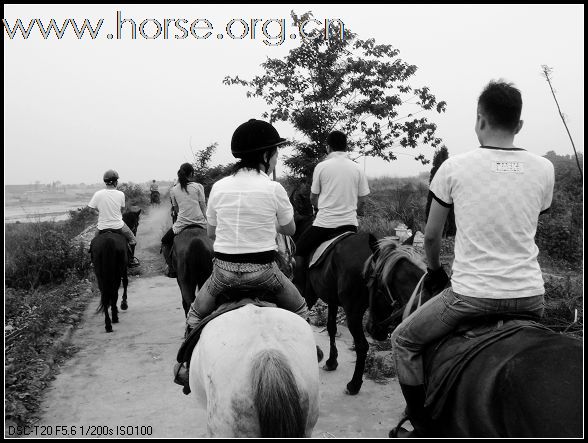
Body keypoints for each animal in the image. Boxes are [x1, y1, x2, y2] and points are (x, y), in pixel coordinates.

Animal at [290, 212, 374, 396]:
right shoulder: (332, 299)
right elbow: (331, 327)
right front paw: (331, 361)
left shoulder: (307, 295)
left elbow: (304, 320)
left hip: (353, 310)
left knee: (362, 345)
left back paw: (354, 384)